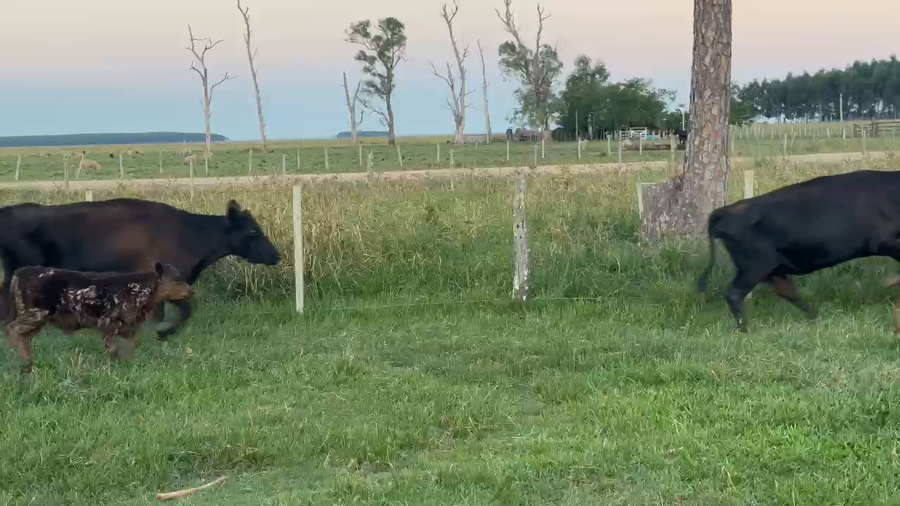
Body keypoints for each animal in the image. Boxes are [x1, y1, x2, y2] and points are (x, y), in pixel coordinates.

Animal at [5, 263, 193, 374]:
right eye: (177, 279)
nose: (191, 291)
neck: (140, 293)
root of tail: (17, 275)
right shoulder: (109, 321)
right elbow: (113, 350)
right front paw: (114, 369)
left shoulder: (128, 326)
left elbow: (131, 347)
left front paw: (130, 367)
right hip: (34, 312)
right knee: (11, 328)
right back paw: (24, 361)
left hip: (36, 317)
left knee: (24, 336)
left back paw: (28, 363)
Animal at [697, 169, 900, 333]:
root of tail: (724, 211)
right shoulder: (884, 242)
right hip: (756, 265)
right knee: (736, 294)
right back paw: (744, 328)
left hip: (770, 267)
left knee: (785, 290)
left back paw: (816, 317)